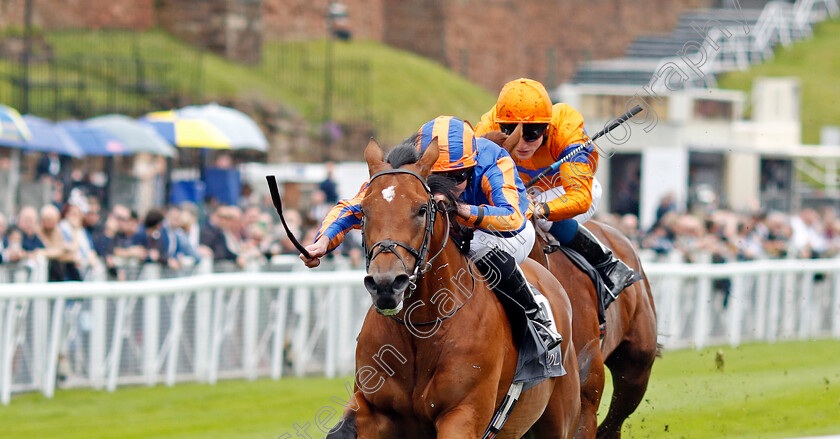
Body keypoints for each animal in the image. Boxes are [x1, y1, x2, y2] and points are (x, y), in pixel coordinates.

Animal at [330, 139, 584, 438]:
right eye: (364, 211)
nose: (386, 284)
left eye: (421, 209)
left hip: (560, 415)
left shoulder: (463, 414)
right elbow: (342, 429)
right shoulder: (372, 407)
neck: (423, 327)